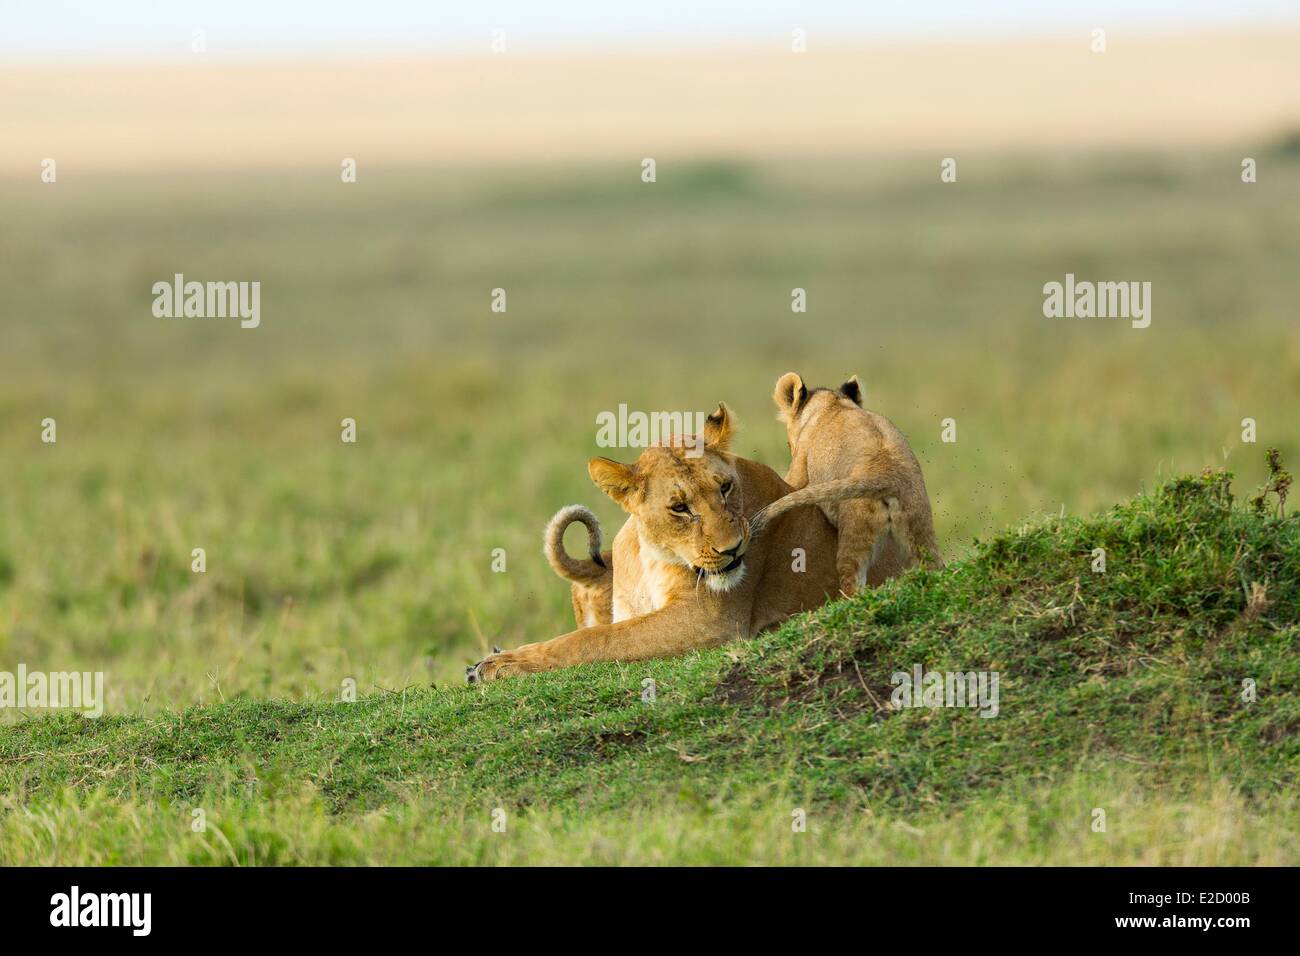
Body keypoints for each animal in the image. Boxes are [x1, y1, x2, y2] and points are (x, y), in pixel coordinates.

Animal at [466, 403, 903, 682]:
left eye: (725, 488)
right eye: (679, 508)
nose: (733, 549)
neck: (651, 556)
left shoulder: (711, 621)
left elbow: (596, 640)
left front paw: (500, 664)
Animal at [773, 372, 943, 597]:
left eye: (788, 445)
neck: (833, 403)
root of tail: (888, 476)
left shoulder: (800, 464)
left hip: (856, 530)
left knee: (852, 583)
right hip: (920, 528)